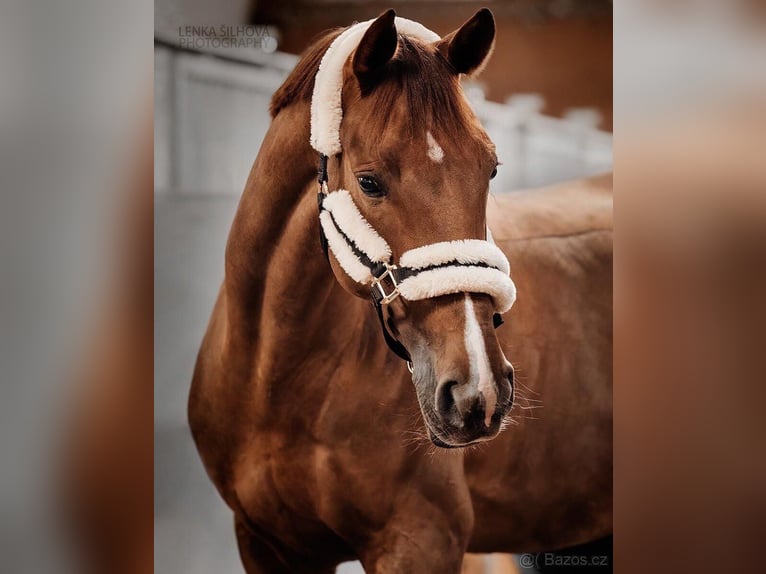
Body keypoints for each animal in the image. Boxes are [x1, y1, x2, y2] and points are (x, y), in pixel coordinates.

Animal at [189, 9, 612, 573]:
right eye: (369, 182)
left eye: (490, 169)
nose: (477, 390)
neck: (278, 383)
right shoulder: (265, 543)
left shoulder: (420, 541)